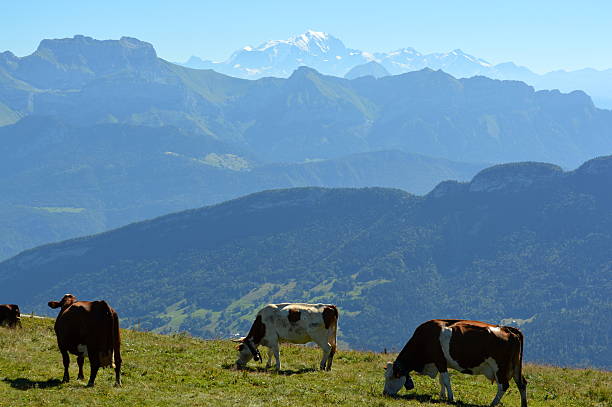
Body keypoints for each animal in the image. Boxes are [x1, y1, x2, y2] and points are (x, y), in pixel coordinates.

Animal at [384, 320, 528, 406]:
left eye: (393, 376)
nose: (385, 394)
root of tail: (509, 329)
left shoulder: (440, 361)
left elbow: (446, 380)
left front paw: (451, 398)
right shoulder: (440, 363)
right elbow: (441, 380)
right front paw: (442, 396)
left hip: (500, 367)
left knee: (504, 385)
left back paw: (493, 403)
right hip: (516, 366)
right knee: (522, 383)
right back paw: (523, 404)